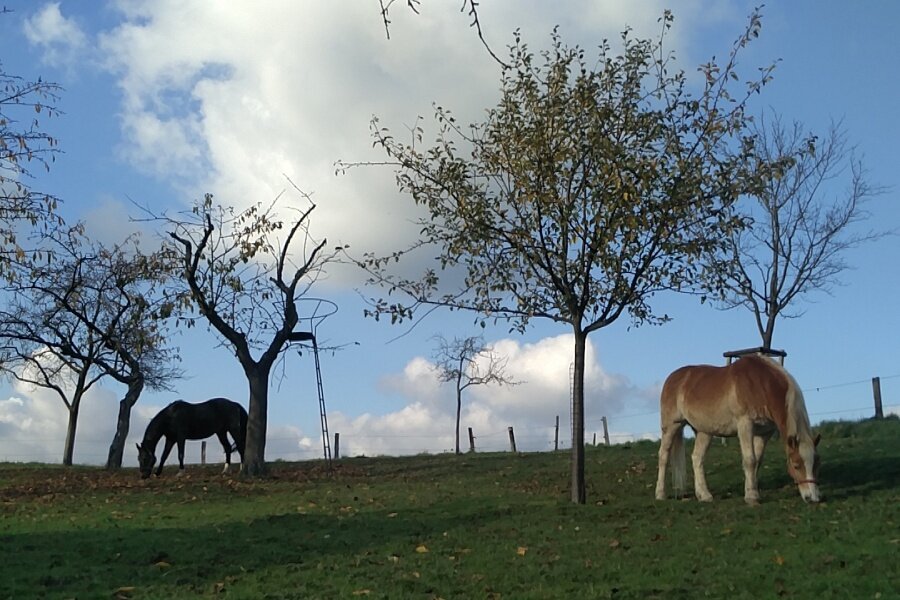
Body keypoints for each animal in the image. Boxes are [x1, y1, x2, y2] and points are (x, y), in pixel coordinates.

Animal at [656, 356, 820, 506]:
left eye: (816, 464)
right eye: (796, 465)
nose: (813, 498)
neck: (761, 383)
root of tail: (673, 378)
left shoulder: (764, 433)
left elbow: (757, 461)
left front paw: (750, 491)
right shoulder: (745, 425)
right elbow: (750, 460)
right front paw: (752, 497)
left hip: (704, 432)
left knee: (697, 458)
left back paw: (704, 495)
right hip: (671, 426)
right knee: (664, 456)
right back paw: (660, 494)